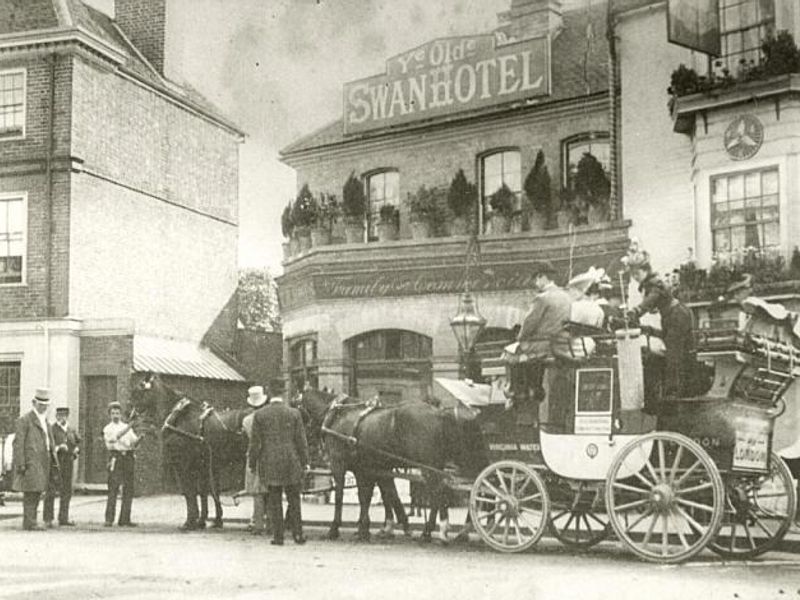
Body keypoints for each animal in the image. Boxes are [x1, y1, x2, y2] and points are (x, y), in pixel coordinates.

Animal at [131, 376, 250, 528]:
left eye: (139, 391)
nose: (130, 415)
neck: (179, 418)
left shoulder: (183, 464)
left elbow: (189, 491)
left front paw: (190, 521)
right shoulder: (202, 465)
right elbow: (205, 491)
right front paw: (205, 520)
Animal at [300, 390, 488, 544]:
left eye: (297, 407)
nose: (312, 451)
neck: (338, 415)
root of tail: (439, 413)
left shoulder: (339, 465)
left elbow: (342, 496)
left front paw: (335, 529)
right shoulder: (367, 469)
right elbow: (372, 496)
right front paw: (366, 529)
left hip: (429, 466)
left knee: (440, 491)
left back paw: (438, 530)